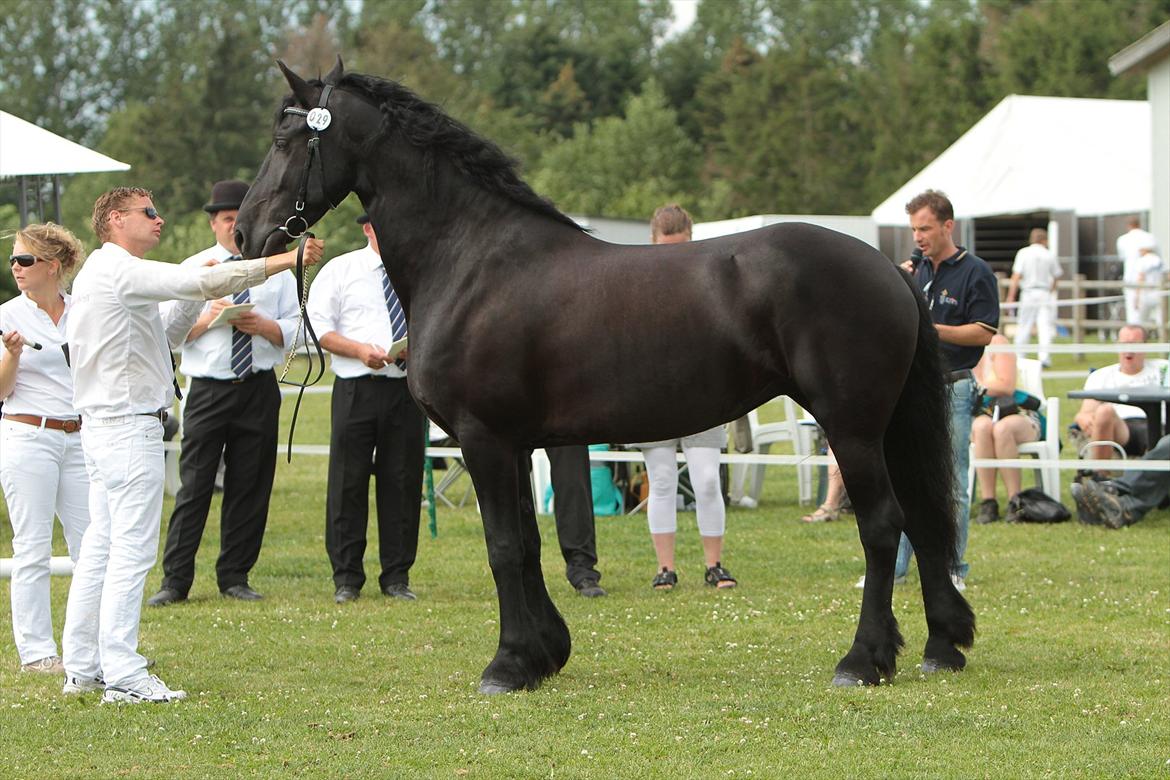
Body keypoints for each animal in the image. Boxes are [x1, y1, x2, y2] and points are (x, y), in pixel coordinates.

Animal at [232, 62, 973, 696]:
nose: (244, 234)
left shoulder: (483, 438)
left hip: (851, 427)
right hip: (885, 427)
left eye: (287, 138)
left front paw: (507, 664)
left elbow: (504, 547)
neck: (472, 260)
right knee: (925, 521)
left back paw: (864, 660)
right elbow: (528, 543)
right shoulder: (513, 445)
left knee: (883, 526)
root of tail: (890, 271)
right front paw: (545, 652)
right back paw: (942, 647)